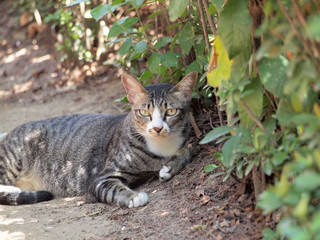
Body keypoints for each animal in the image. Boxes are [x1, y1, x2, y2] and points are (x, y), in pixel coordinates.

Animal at [0, 71, 198, 208]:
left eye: (171, 111)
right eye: (144, 112)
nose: (157, 128)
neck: (160, 147)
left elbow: (188, 151)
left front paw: (171, 166)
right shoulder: (101, 178)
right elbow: (112, 187)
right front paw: (134, 196)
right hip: (13, 157)